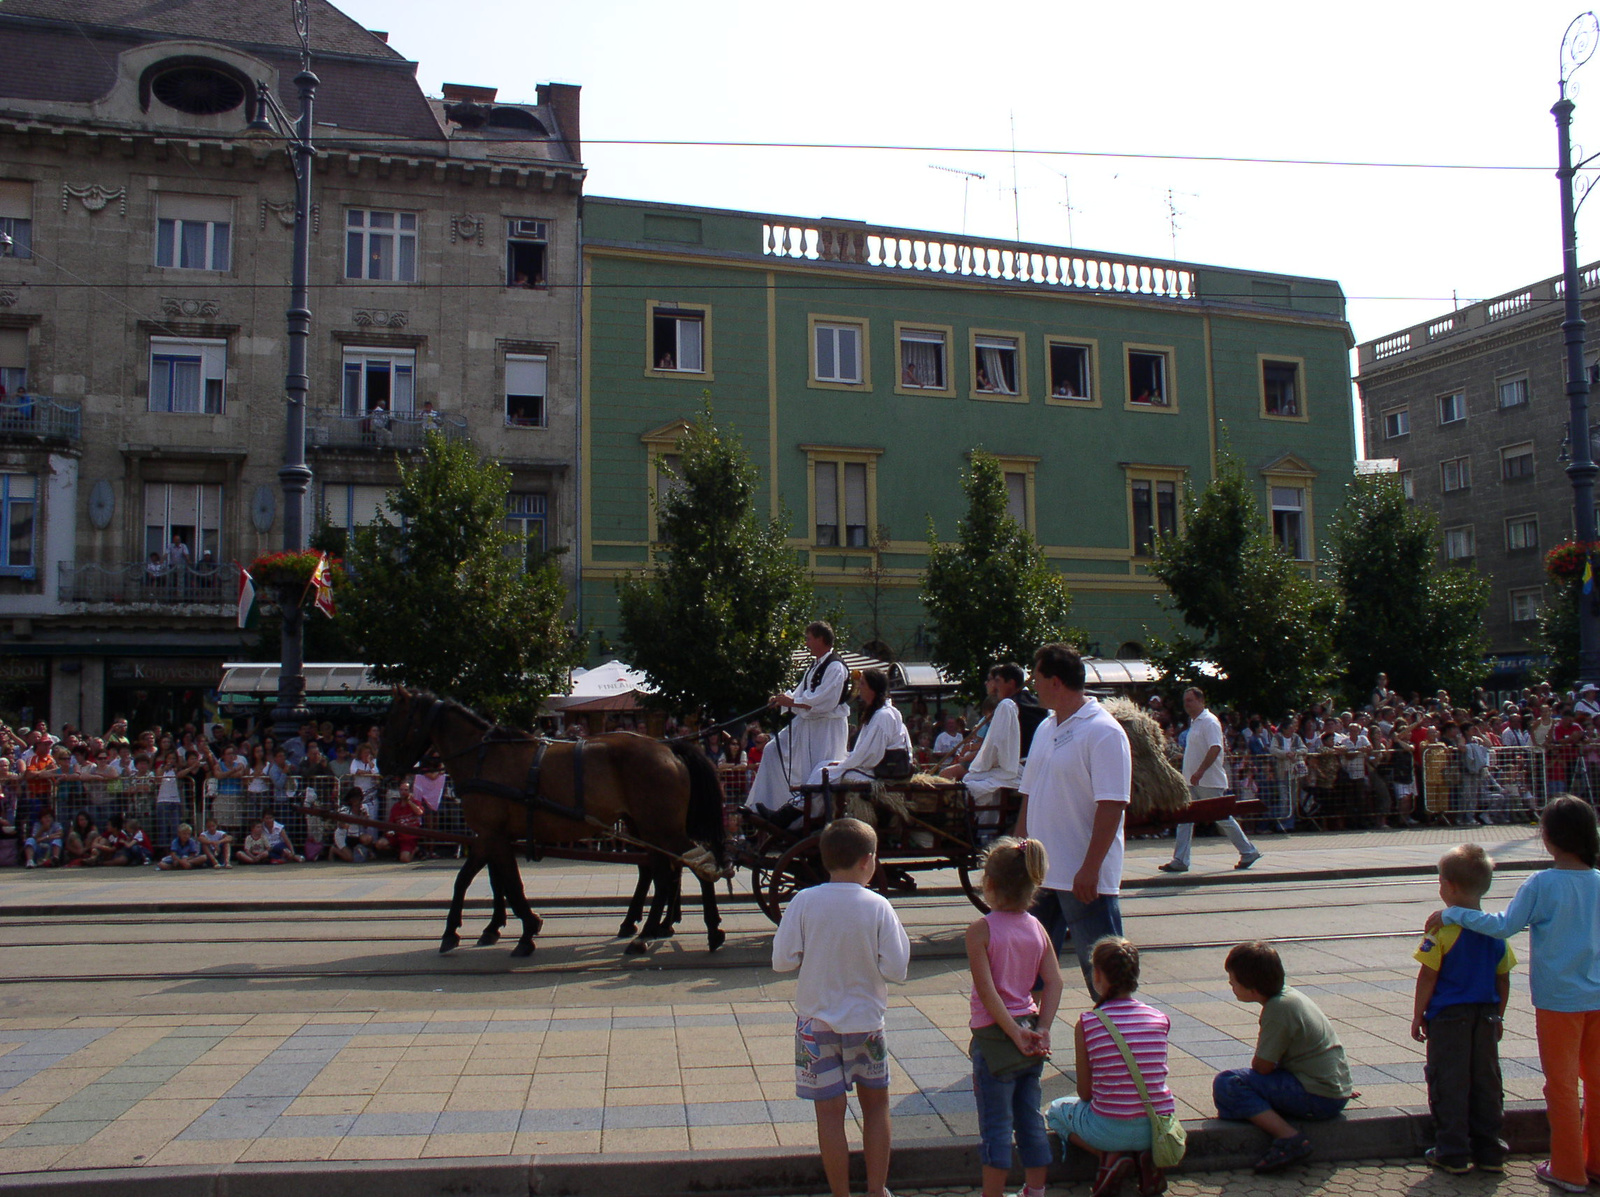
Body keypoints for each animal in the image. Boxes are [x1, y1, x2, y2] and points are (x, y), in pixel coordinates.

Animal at [377, 688, 729, 960]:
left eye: (393, 719)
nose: (382, 764)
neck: (482, 757)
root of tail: (668, 747)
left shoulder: (491, 834)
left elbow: (504, 884)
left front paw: (524, 930)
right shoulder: (491, 836)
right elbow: (479, 880)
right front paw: (466, 929)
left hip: (662, 828)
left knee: (694, 866)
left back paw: (703, 929)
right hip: (648, 827)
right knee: (665, 874)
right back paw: (652, 930)